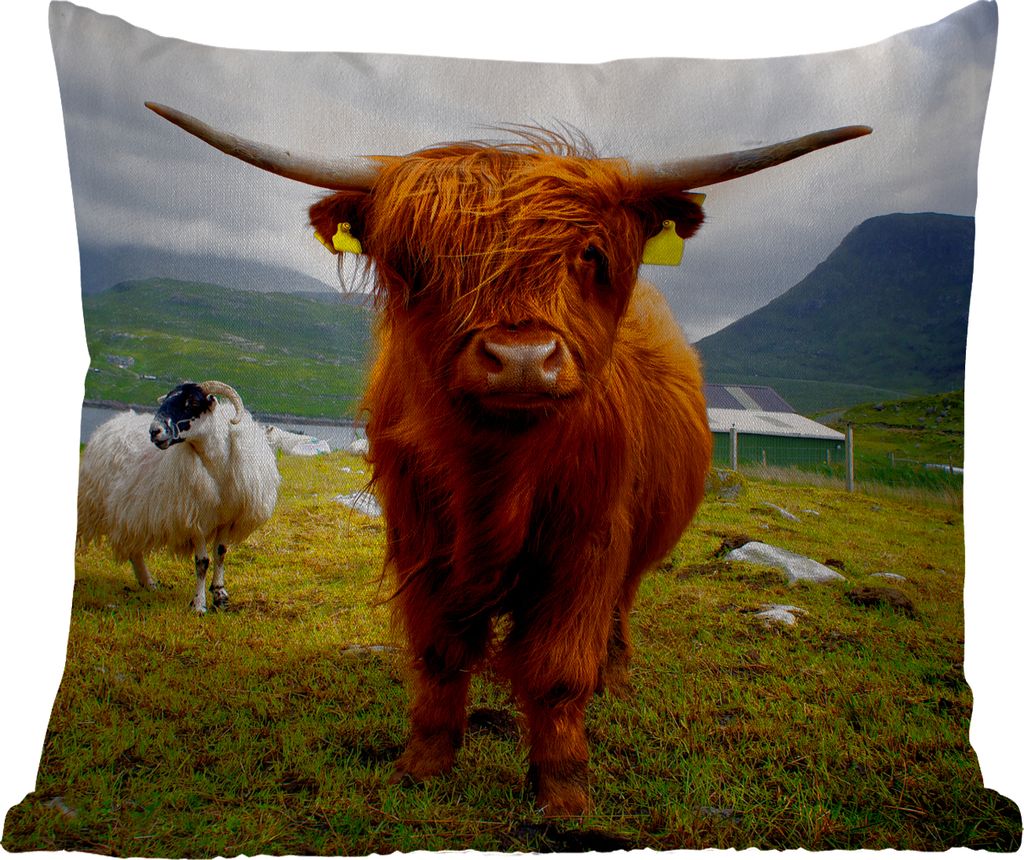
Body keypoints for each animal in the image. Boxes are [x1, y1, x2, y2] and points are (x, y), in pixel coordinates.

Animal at [77, 380, 281, 613]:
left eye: (191, 402)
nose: (154, 431)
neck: (216, 467)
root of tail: (112, 423)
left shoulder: (226, 520)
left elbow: (220, 553)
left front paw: (220, 595)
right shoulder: (196, 519)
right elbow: (202, 562)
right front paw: (199, 605)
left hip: (131, 512)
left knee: (134, 549)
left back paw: (148, 583)